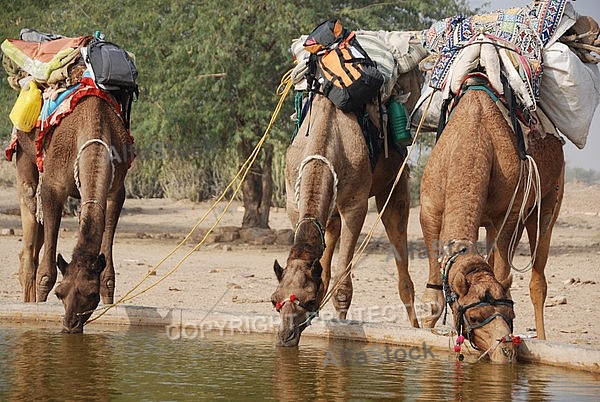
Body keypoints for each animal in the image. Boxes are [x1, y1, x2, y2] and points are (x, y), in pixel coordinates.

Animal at [15, 94, 131, 332]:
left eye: (92, 294)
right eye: (60, 293)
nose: (71, 324)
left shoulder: (116, 191)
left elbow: (108, 278)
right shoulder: (53, 186)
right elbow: (46, 275)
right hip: (23, 151)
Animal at [272, 68, 422, 346]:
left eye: (308, 300)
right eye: (274, 299)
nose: (285, 337)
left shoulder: (355, 204)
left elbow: (343, 286)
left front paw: (342, 331)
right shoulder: (293, 204)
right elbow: (323, 273)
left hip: (394, 181)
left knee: (400, 250)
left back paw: (417, 327)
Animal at [420, 84, 564, 362]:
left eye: (511, 315)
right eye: (474, 316)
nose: (505, 350)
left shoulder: (509, 213)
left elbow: (501, 273)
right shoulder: (428, 210)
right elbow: (432, 300)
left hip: (549, 200)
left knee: (537, 281)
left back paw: (543, 340)